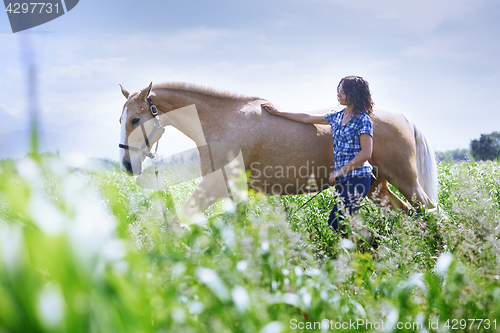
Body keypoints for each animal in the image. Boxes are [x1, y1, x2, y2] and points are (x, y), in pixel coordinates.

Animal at [118, 81, 438, 222]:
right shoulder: (233, 192)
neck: (221, 122)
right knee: (406, 214)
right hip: (375, 186)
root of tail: (401, 117)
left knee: (429, 212)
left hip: (406, 181)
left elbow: (177, 221)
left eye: (135, 119)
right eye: (121, 119)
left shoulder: (214, 185)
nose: (127, 165)